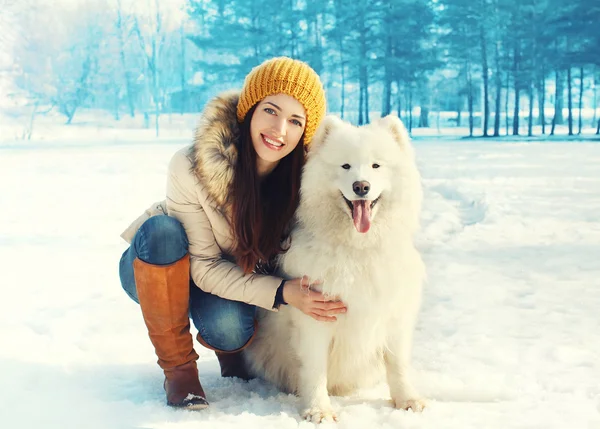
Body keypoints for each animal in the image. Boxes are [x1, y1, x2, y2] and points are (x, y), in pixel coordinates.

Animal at [244, 113, 426, 422]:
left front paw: (407, 400)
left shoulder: (393, 313)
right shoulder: (315, 319)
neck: (357, 250)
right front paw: (319, 410)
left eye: (376, 165)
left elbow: (397, 363)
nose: (361, 186)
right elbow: (315, 370)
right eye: (345, 166)